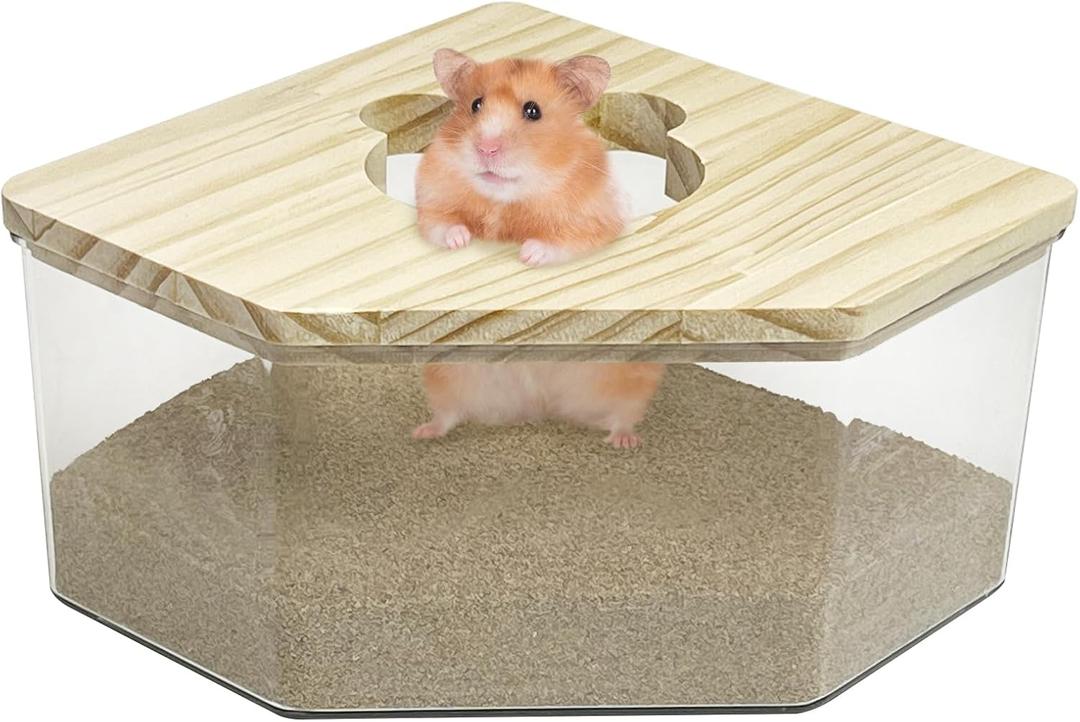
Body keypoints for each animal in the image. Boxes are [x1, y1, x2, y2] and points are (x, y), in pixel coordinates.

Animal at [415, 48, 626, 266]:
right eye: (475, 104)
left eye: (533, 111)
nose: (486, 149)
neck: (503, 201)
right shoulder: (432, 199)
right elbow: (439, 223)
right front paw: (460, 240)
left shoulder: (597, 222)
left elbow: (567, 241)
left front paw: (528, 254)